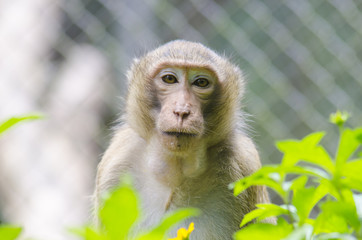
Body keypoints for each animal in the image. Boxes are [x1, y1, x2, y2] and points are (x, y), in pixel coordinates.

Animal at [94, 40, 272, 239]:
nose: (181, 111)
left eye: (201, 82)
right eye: (169, 79)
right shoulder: (117, 161)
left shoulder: (244, 162)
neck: (175, 172)